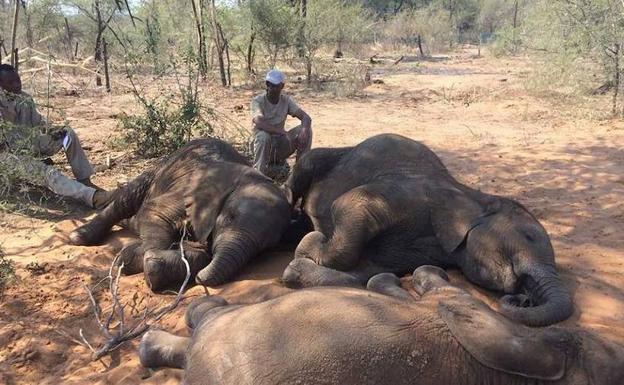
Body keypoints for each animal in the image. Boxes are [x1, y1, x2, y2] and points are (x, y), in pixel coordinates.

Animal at [69, 136, 292, 290]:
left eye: (265, 247)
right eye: (229, 218)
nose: (200, 279)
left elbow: (202, 254)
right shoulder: (186, 192)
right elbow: (155, 212)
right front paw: (135, 260)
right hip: (159, 169)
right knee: (127, 199)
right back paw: (78, 237)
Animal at [280, 134, 572, 326]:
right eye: (528, 236)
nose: (523, 300)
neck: (473, 197)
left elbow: (366, 270)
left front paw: (298, 265)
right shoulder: (414, 195)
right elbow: (349, 204)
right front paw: (312, 241)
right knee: (304, 168)